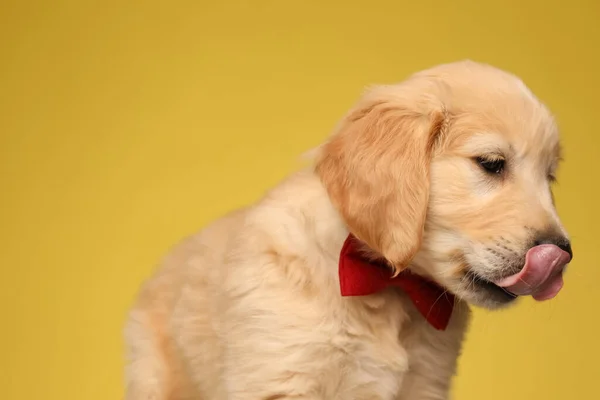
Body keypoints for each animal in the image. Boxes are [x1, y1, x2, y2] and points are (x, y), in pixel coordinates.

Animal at [124, 60, 576, 400]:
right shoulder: (280, 374)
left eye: (549, 177)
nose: (563, 254)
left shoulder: (425, 384)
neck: (385, 285)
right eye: (491, 163)